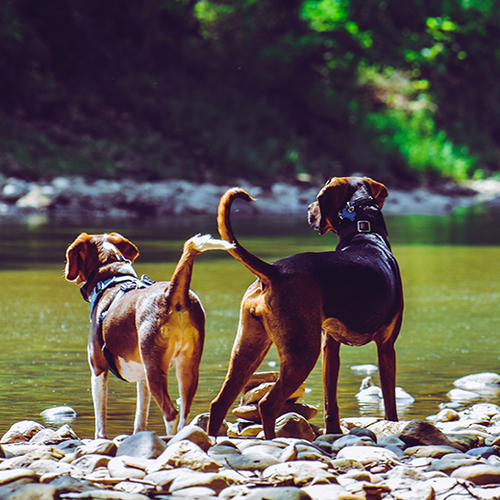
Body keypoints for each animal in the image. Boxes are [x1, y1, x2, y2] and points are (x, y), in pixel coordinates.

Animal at [65, 232, 234, 436]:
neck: (112, 278)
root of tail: (172, 293)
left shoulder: (98, 369)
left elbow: (100, 420)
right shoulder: (143, 376)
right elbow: (140, 415)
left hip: (156, 371)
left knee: (171, 414)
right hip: (187, 369)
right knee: (184, 415)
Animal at [209, 179, 404, 438]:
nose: (308, 209)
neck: (365, 232)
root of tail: (274, 271)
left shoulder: (330, 346)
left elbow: (330, 400)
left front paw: (333, 432)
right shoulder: (386, 346)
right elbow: (390, 401)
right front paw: (392, 424)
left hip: (248, 349)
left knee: (219, 403)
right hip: (301, 354)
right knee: (267, 404)